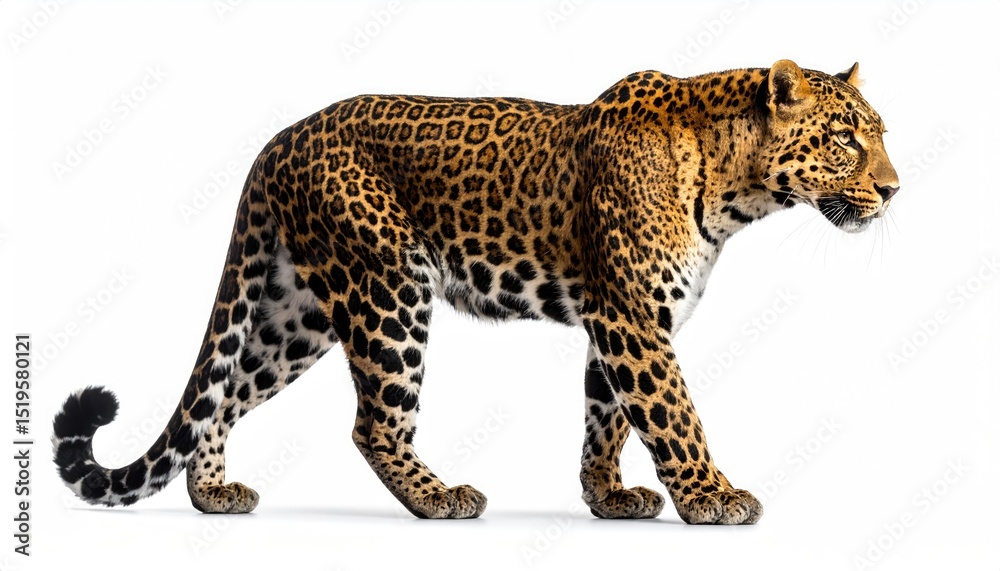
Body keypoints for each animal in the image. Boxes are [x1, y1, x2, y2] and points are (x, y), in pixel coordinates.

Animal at [53, 59, 899, 524]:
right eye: (845, 138)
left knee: (224, 393)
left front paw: (608, 498)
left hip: (300, 313)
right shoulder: (632, 317)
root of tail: (280, 139)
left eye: (880, 132)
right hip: (388, 286)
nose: (894, 188)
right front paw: (712, 496)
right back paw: (439, 497)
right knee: (373, 424)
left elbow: (607, 419)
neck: (735, 185)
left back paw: (213, 493)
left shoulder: (617, 319)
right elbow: (673, 413)